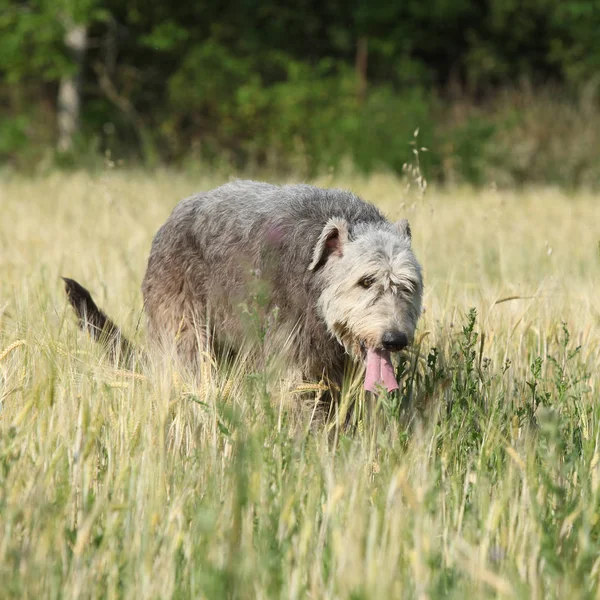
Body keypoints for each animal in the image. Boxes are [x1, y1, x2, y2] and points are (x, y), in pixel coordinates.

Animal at [63, 180, 422, 398]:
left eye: (408, 285)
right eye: (366, 281)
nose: (395, 339)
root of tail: (170, 219)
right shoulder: (290, 361)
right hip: (183, 331)